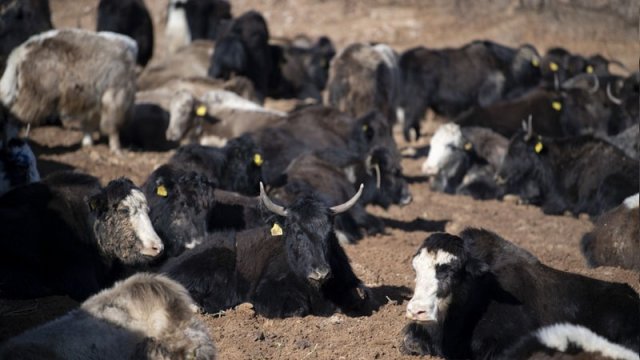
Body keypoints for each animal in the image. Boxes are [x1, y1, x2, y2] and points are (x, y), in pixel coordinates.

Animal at [162, 183, 368, 318]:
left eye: (329, 232)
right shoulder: (268, 293)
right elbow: (297, 310)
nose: (320, 273)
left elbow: (359, 297)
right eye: (296, 231)